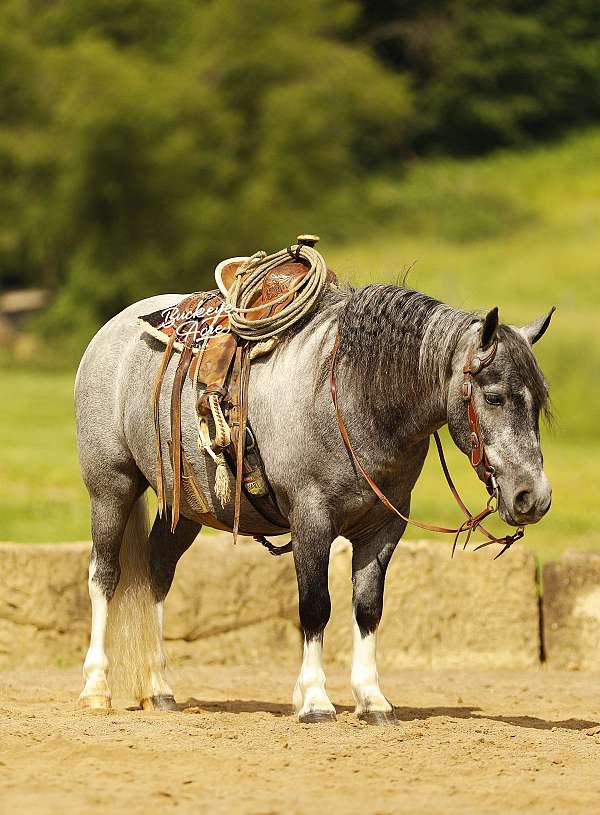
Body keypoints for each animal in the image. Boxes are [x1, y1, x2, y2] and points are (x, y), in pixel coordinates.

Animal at [75, 282, 553, 721]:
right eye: (493, 397)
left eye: (539, 402)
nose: (533, 497)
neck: (356, 397)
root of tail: (112, 330)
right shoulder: (312, 521)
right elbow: (315, 606)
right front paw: (315, 700)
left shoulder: (383, 528)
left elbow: (368, 608)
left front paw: (371, 698)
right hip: (111, 487)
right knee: (105, 577)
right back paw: (96, 689)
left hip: (186, 506)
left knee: (157, 573)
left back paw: (159, 689)